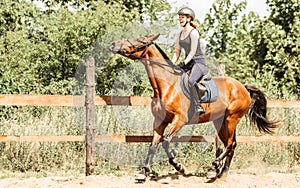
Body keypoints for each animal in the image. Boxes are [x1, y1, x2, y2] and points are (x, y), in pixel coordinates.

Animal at [110, 33, 278, 181]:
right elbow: (153, 144)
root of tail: (242, 87)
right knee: (231, 144)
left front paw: (180, 167)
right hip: (220, 121)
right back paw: (219, 173)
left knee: (230, 145)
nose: (113, 44)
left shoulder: (180, 120)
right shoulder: (159, 121)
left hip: (231, 118)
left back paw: (215, 167)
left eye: (140, 40)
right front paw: (143, 172)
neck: (166, 86)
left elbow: (165, 141)